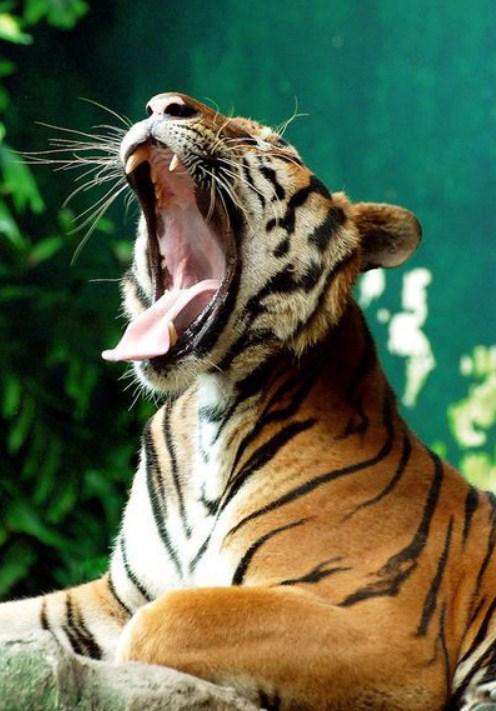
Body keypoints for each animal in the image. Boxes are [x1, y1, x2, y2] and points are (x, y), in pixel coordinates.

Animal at [1, 91, 495, 711]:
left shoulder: (385, 633)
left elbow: (165, 622)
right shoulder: (118, 595)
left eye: (262, 141)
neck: (209, 416)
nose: (162, 104)